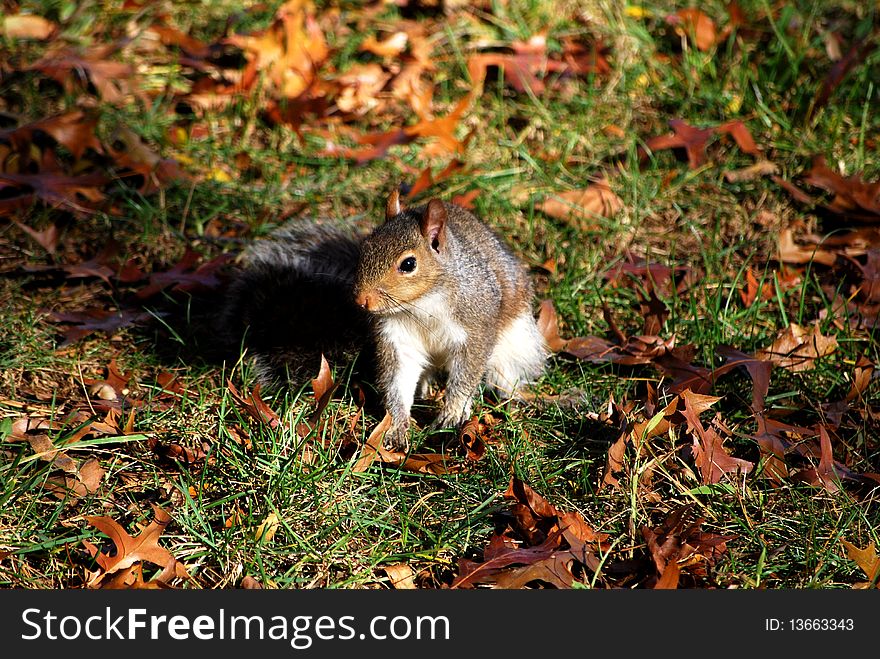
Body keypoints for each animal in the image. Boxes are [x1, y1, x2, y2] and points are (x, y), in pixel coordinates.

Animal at [220, 191, 548, 454]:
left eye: (409, 264)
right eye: (365, 248)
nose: (361, 300)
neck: (422, 303)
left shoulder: (476, 327)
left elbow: (467, 373)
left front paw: (452, 413)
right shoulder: (397, 338)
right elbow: (398, 378)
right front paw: (397, 425)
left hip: (514, 340)